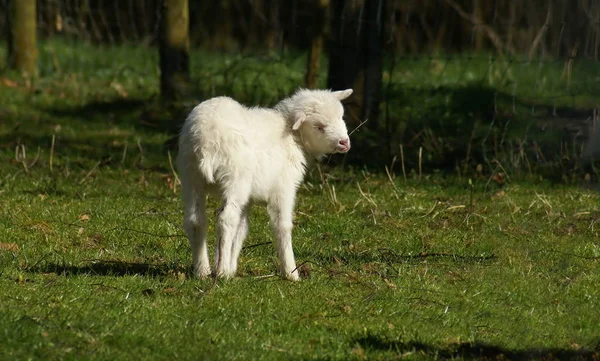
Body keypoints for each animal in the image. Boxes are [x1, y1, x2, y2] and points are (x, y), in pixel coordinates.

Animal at [175, 87, 352, 278]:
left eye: (341, 117)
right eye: (319, 126)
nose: (344, 143)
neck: (292, 135)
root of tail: (205, 141)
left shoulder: (248, 198)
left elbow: (242, 229)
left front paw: (231, 266)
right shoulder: (284, 186)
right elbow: (282, 225)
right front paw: (291, 273)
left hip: (191, 176)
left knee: (196, 221)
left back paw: (203, 271)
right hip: (235, 177)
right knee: (226, 219)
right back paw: (221, 272)